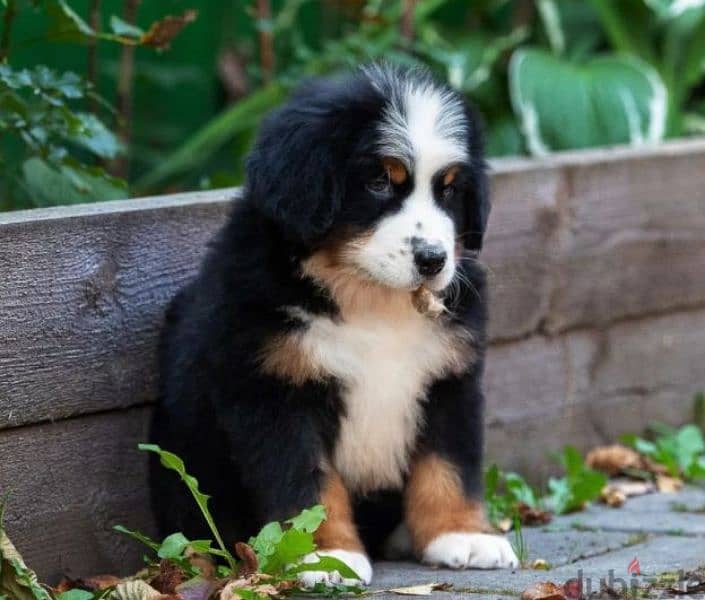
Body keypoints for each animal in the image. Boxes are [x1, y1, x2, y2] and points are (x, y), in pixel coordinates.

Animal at [150, 63, 516, 584]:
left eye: (448, 189)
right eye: (380, 182)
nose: (433, 259)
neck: (370, 301)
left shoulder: (450, 379)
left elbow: (448, 465)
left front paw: (463, 534)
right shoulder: (276, 392)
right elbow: (307, 486)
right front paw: (324, 555)